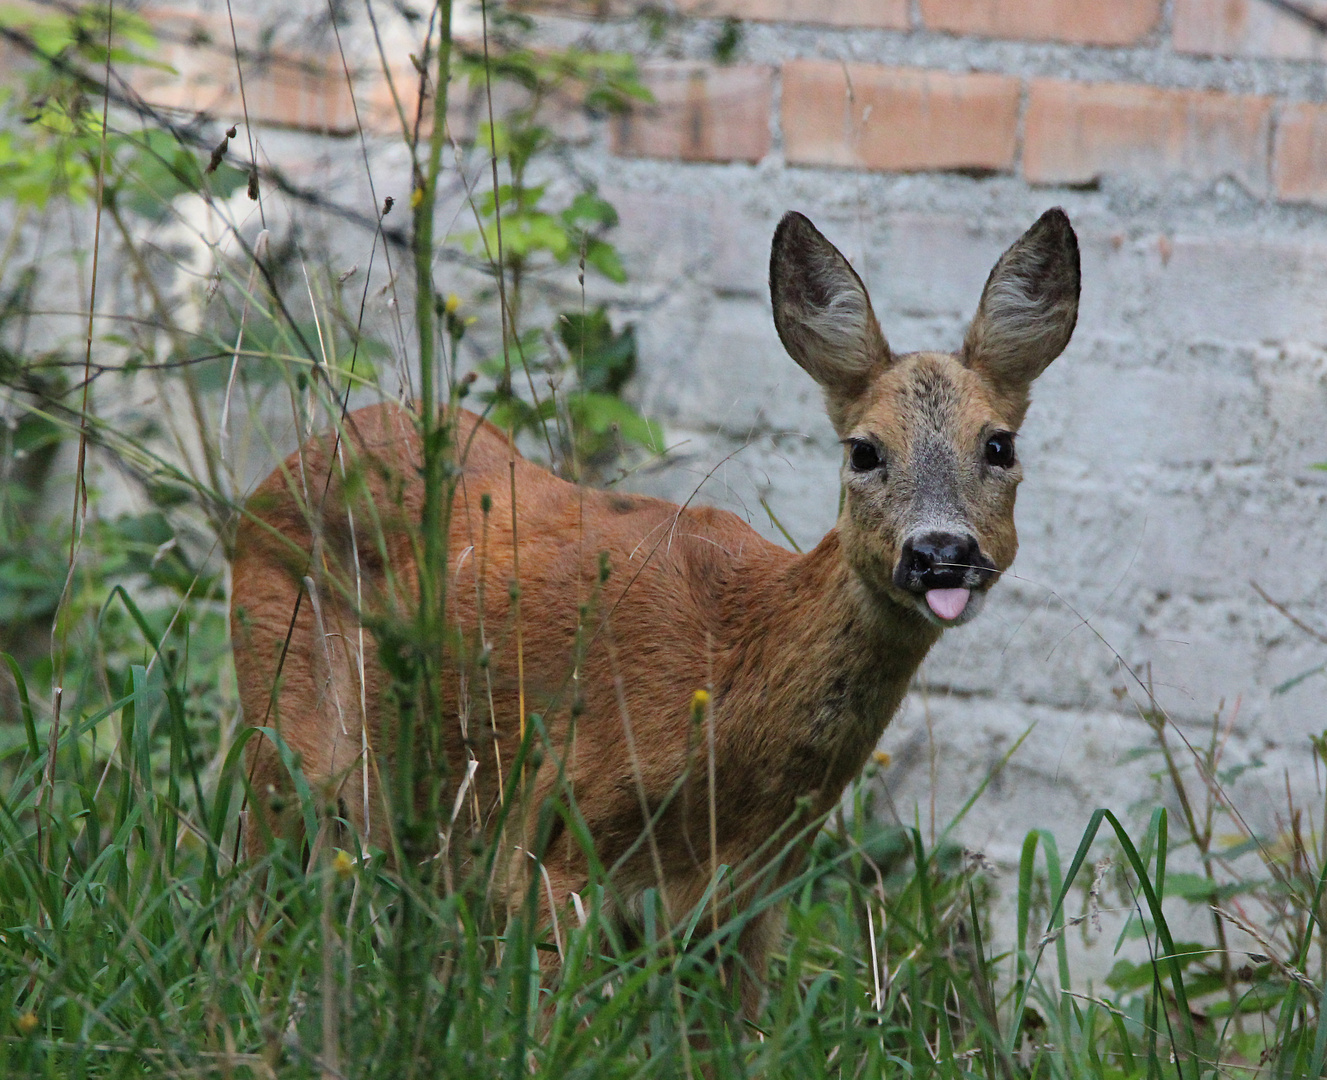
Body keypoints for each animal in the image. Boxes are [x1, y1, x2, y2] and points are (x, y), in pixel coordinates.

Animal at [228, 206, 1077, 1018]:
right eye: (863, 451)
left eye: (998, 446)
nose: (940, 553)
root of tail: (290, 462)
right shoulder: (552, 844)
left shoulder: (746, 903)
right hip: (281, 723)